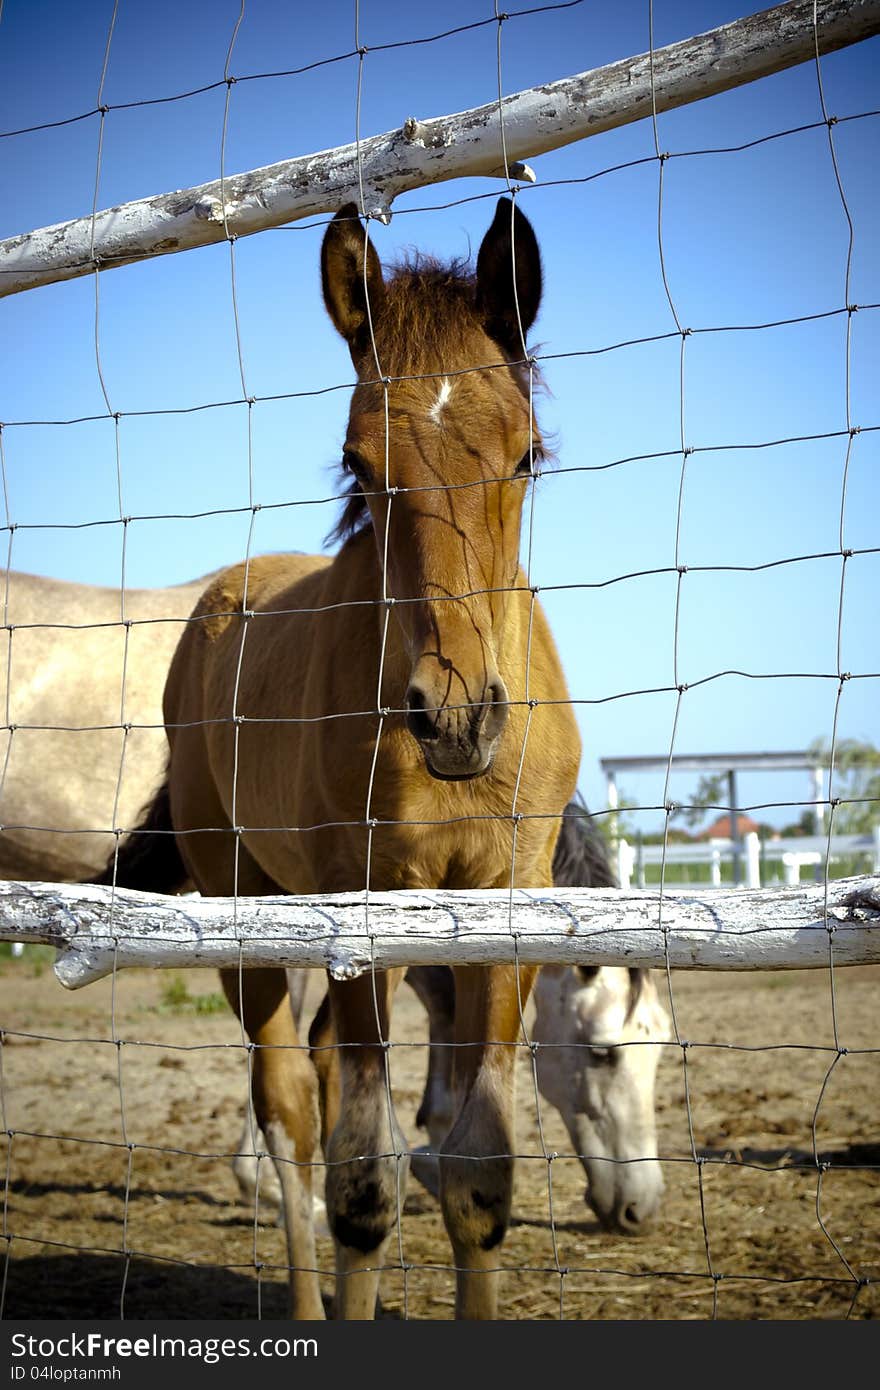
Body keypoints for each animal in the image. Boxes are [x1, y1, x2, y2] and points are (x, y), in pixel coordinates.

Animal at [102, 198, 581, 1323]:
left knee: (319, 1072)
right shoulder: (355, 891)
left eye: (527, 456)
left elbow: (479, 1170)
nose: (456, 718)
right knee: (288, 1107)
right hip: (244, 897)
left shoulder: (505, 899)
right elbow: (365, 1185)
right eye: (361, 463)